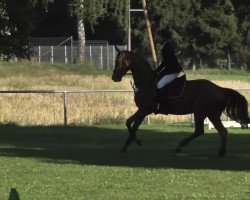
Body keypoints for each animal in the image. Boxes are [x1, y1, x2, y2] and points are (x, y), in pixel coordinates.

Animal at [111, 45, 250, 156]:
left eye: (118, 61)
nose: (114, 77)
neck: (146, 82)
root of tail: (220, 89)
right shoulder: (143, 110)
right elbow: (131, 125)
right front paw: (128, 145)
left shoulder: (145, 109)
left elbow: (131, 125)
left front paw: (135, 141)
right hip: (211, 114)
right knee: (222, 131)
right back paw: (221, 153)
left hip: (200, 112)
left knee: (200, 131)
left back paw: (180, 146)